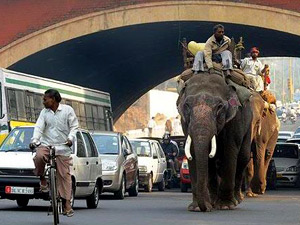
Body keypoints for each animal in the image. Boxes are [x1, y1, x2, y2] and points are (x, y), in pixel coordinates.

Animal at [177, 71, 254, 212]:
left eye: (219, 107)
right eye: (187, 106)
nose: (204, 209)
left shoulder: (235, 120)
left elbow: (230, 153)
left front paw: (225, 206)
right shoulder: (185, 122)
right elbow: (193, 152)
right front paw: (196, 208)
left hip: (248, 124)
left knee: (243, 158)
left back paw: (236, 200)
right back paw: (213, 202)